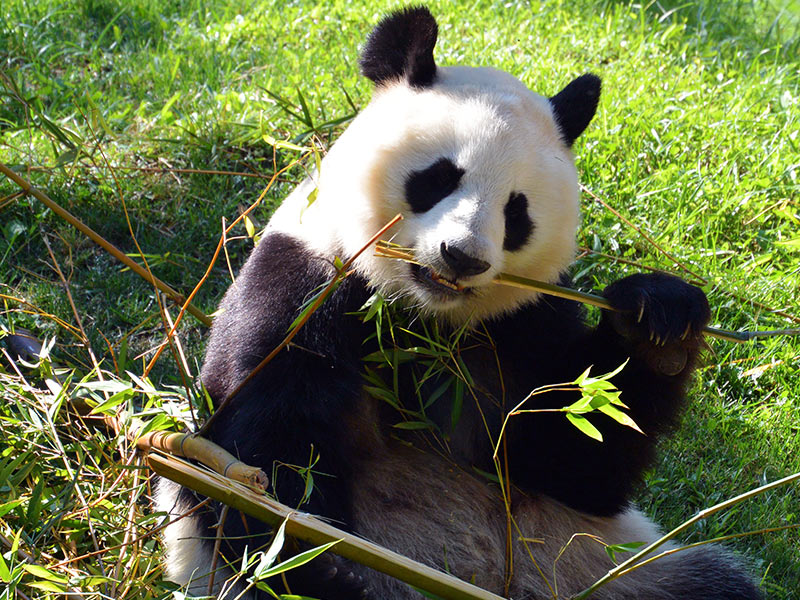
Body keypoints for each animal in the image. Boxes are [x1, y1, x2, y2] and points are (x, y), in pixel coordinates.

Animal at [156, 5, 764, 600]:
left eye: (516, 211)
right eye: (438, 178)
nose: (462, 257)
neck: (423, 319)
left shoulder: (525, 326)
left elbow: (573, 455)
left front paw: (659, 321)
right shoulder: (305, 287)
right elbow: (257, 459)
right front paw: (318, 568)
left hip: (593, 563)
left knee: (711, 584)